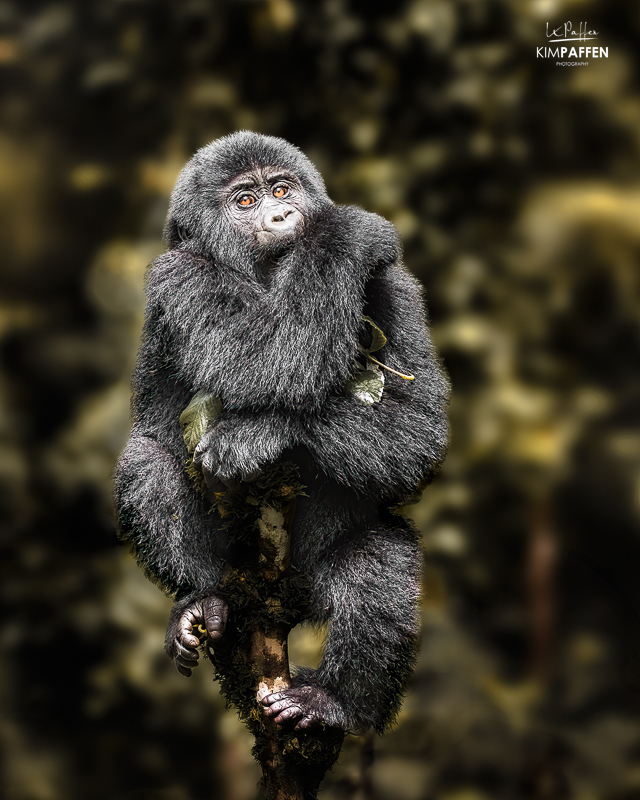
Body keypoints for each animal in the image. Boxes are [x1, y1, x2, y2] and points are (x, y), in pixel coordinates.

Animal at [113, 131, 449, 733]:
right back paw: (203, 599)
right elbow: (264, 355)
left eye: (282, 188)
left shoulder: (392, 285)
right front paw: (344, 233)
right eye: (245, 201)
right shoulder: (180, 272)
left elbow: (418, 426)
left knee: (376, 559)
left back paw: (336, 701)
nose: (283, 213)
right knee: (145, 461)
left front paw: (255, 437)